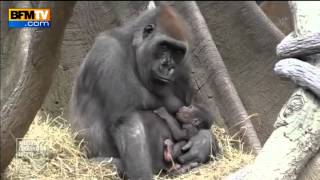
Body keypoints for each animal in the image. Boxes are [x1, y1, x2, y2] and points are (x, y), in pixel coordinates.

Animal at [70, 4, 215, 180]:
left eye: (177, 52)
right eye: (164, 46)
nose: (168, 66)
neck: (134, 49)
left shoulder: (184, 66)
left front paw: (203, 142)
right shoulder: (109, 51)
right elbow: (126, 121)